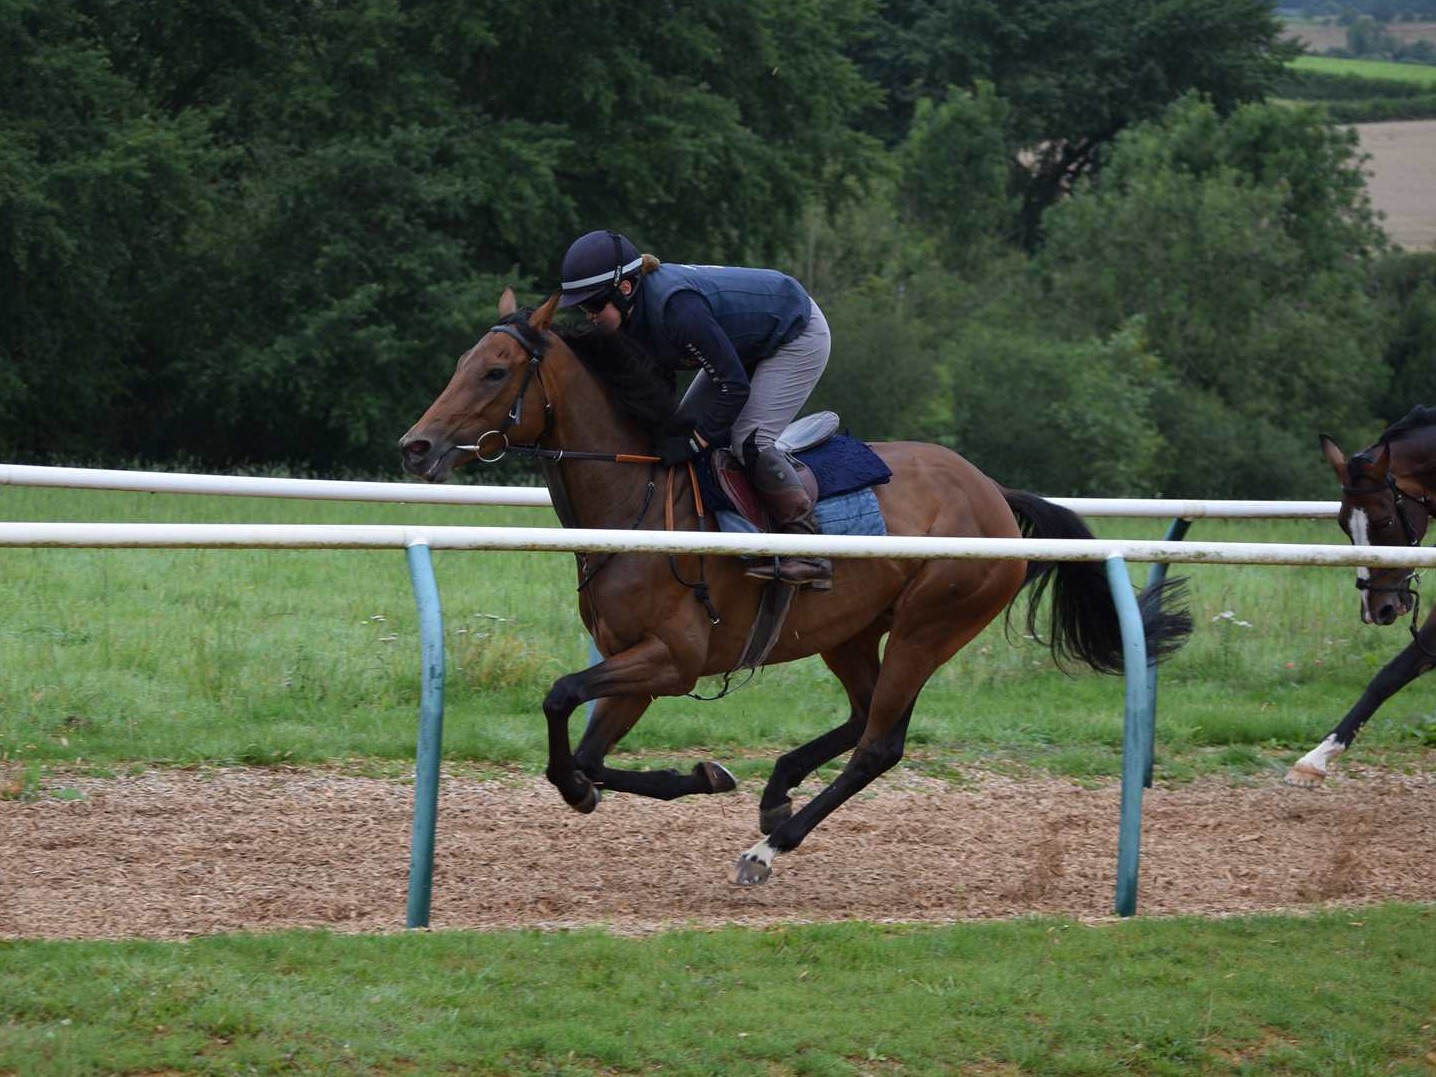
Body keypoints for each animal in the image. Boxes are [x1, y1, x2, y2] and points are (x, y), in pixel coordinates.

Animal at [396, 292, 1189, 884]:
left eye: (496, 372)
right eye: (465, 363)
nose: (416, 446)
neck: (638, 500)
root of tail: (992, 491)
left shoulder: (672, 659)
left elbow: (560, 694)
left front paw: (621, 785)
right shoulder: (634, 663)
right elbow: (588, 751)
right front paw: (698, 775)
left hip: (930, 622)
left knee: (879, 743)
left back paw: (767, 848)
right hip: (852, 630)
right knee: (863, 717)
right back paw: (777, 793)